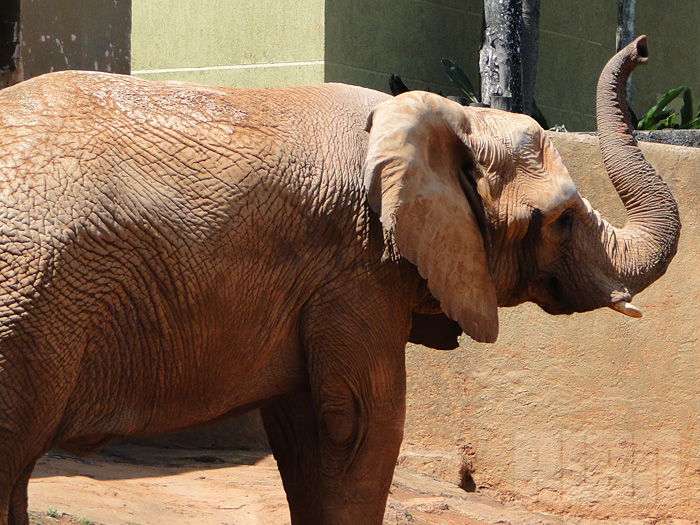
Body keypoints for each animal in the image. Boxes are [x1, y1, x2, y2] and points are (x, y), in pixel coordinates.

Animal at [0, 34, 680, 520]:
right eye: (560, 220)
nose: (644, 46)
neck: (443, 115)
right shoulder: (354, 265)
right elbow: (359, 424)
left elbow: (305, 427)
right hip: (26, 308)